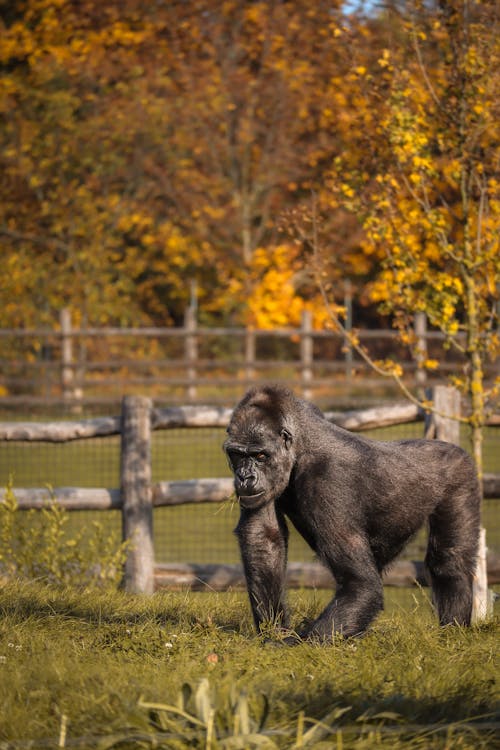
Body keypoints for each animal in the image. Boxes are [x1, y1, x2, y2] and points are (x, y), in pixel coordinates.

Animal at [224, 384, 480, 644]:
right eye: (237, 455)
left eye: (260, 456)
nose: (245, 477)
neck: (301, 446)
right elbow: (263, 538)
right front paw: (274, 631)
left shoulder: (327, 480)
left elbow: (360, 584)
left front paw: (295, 643)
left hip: (460, 472)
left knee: (448, 561)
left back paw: (453, 632)